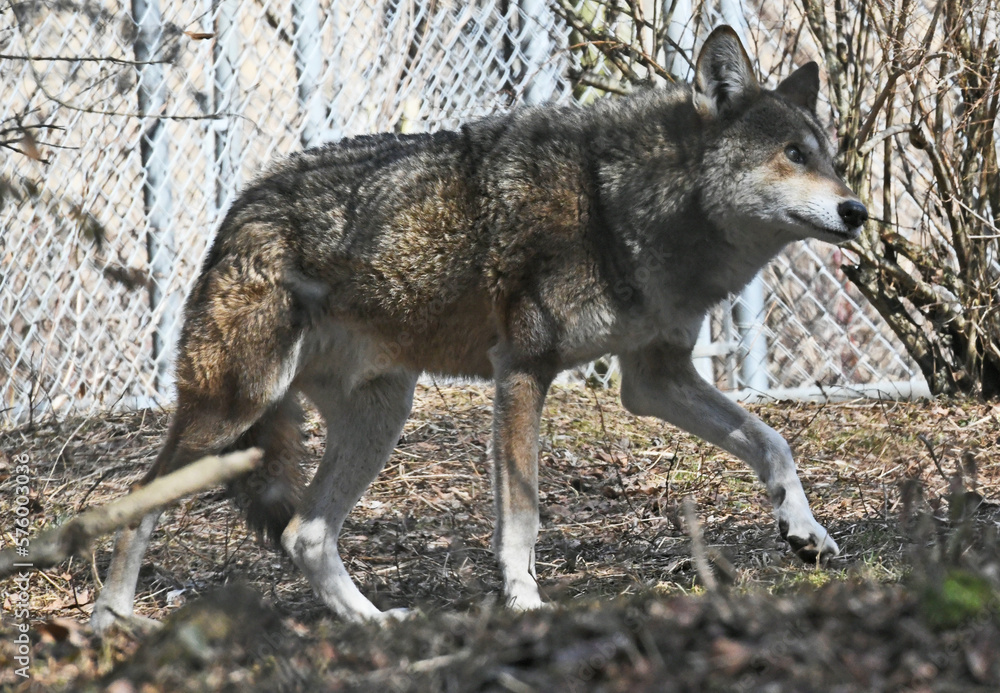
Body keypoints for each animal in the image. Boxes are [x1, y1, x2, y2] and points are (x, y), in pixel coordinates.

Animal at [90, 26, 867, 630]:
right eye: (793, 154)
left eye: (828, 156)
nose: (857, 210)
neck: (621, 205)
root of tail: (238, 205)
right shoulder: (523, 370)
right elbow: (521, 512)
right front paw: (524, 601)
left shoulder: (655, 379)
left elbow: (773, 443)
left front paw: (806, 530)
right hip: (232, 410)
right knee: (134, 504)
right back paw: (110, 622)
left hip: (380, 414)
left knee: (306, 534)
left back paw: (374, 623)